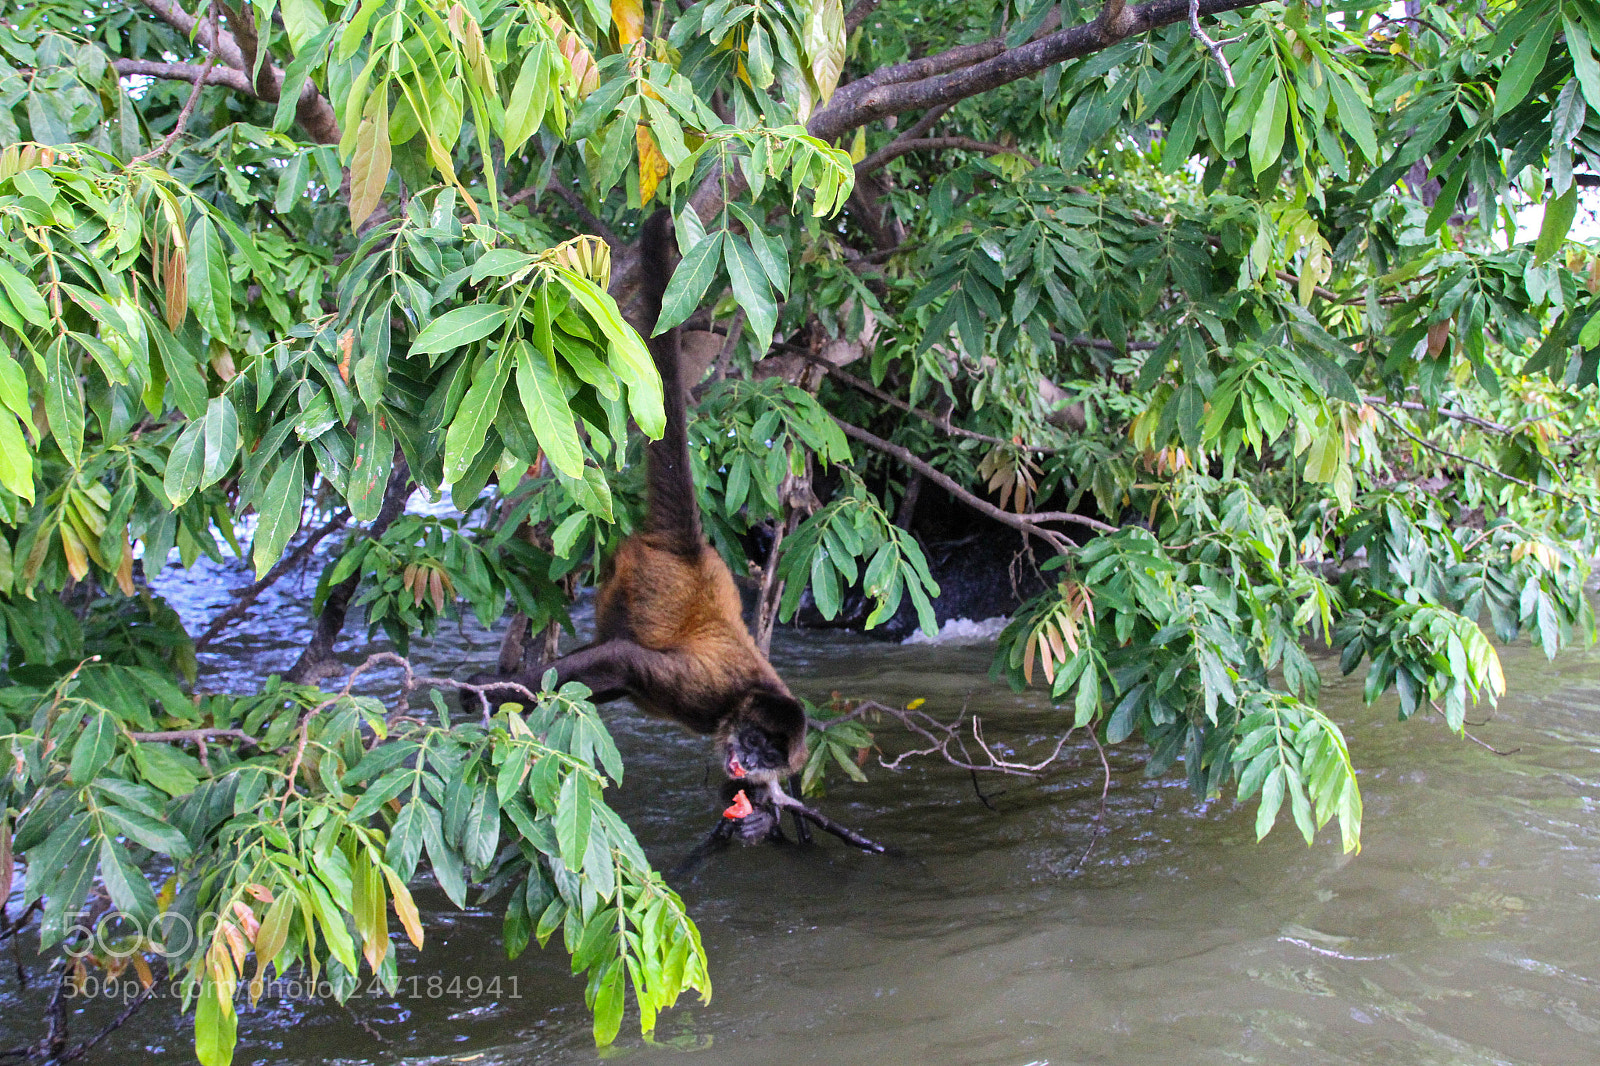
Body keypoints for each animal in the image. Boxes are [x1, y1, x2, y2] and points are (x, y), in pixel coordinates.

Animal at [475, 211, 807, 835]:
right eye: (753, 740)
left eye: (769, 754)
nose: (749, 760)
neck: (744, 700)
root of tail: (688, 549)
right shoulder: (706, 694)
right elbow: (627, 663)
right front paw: (475, 697)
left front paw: (756, 814)